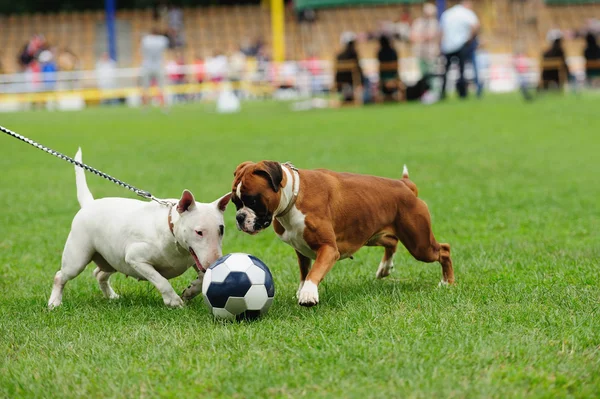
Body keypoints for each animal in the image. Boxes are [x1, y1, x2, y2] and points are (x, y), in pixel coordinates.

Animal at [48, 150, 231, 310]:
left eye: (221, 230)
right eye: (199, 232)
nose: (214, 262)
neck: (171, 231)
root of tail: (89, 204)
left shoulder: (194, 258)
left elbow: (203, 278)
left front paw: (190, 291)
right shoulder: (135, 258)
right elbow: (161, 280)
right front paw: (174, 301)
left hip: (111, 258)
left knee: (99, 274)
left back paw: (112, 297)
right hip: (78, 257)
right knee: (61, 276)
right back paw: (54, 303)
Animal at [232, 161, 452, 308]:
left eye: (253, 201)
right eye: (234, 202)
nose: (239, 217)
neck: (293, 197)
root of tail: (404, 184)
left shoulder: (329, 249)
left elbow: (314, 272)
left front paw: (308, 293)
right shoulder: (301, 251)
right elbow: (304, 272)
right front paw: (302, 289)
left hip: (420, 245)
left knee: (444, 250)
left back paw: (447, 283)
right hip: (371, 234)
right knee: (392, 240)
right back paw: (384, 268)